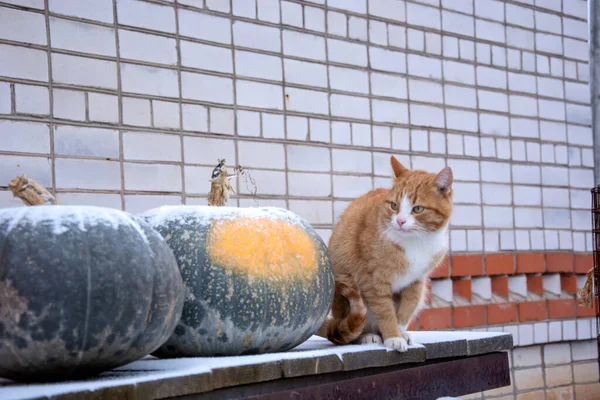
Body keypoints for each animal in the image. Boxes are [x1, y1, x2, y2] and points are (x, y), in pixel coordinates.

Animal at [316, 155, 452, 350]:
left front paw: (400, 332)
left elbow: (406, 309)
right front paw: (393, 337)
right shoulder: (373, 280)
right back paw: (368, 336)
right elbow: (385, 311)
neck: (416, 242)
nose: (400, 221)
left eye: (418, 209)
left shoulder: (417, 281)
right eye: (394, 206)